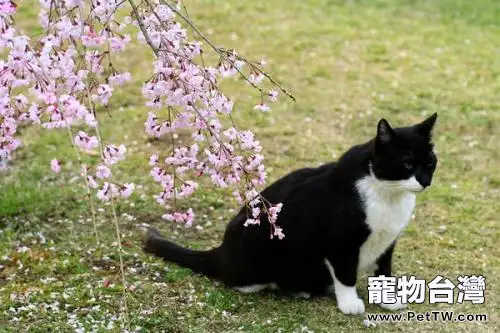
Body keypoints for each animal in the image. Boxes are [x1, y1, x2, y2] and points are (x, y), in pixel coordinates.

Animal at [142, 114, 438, 314]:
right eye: (407, 163)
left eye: (431, 163)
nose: (425, 181)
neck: (389, 194)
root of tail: (220, 250)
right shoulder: (340, 243)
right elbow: (345, 274)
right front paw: (350, 303)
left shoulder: (386, 241)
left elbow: (384, 272)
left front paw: (388, 298)